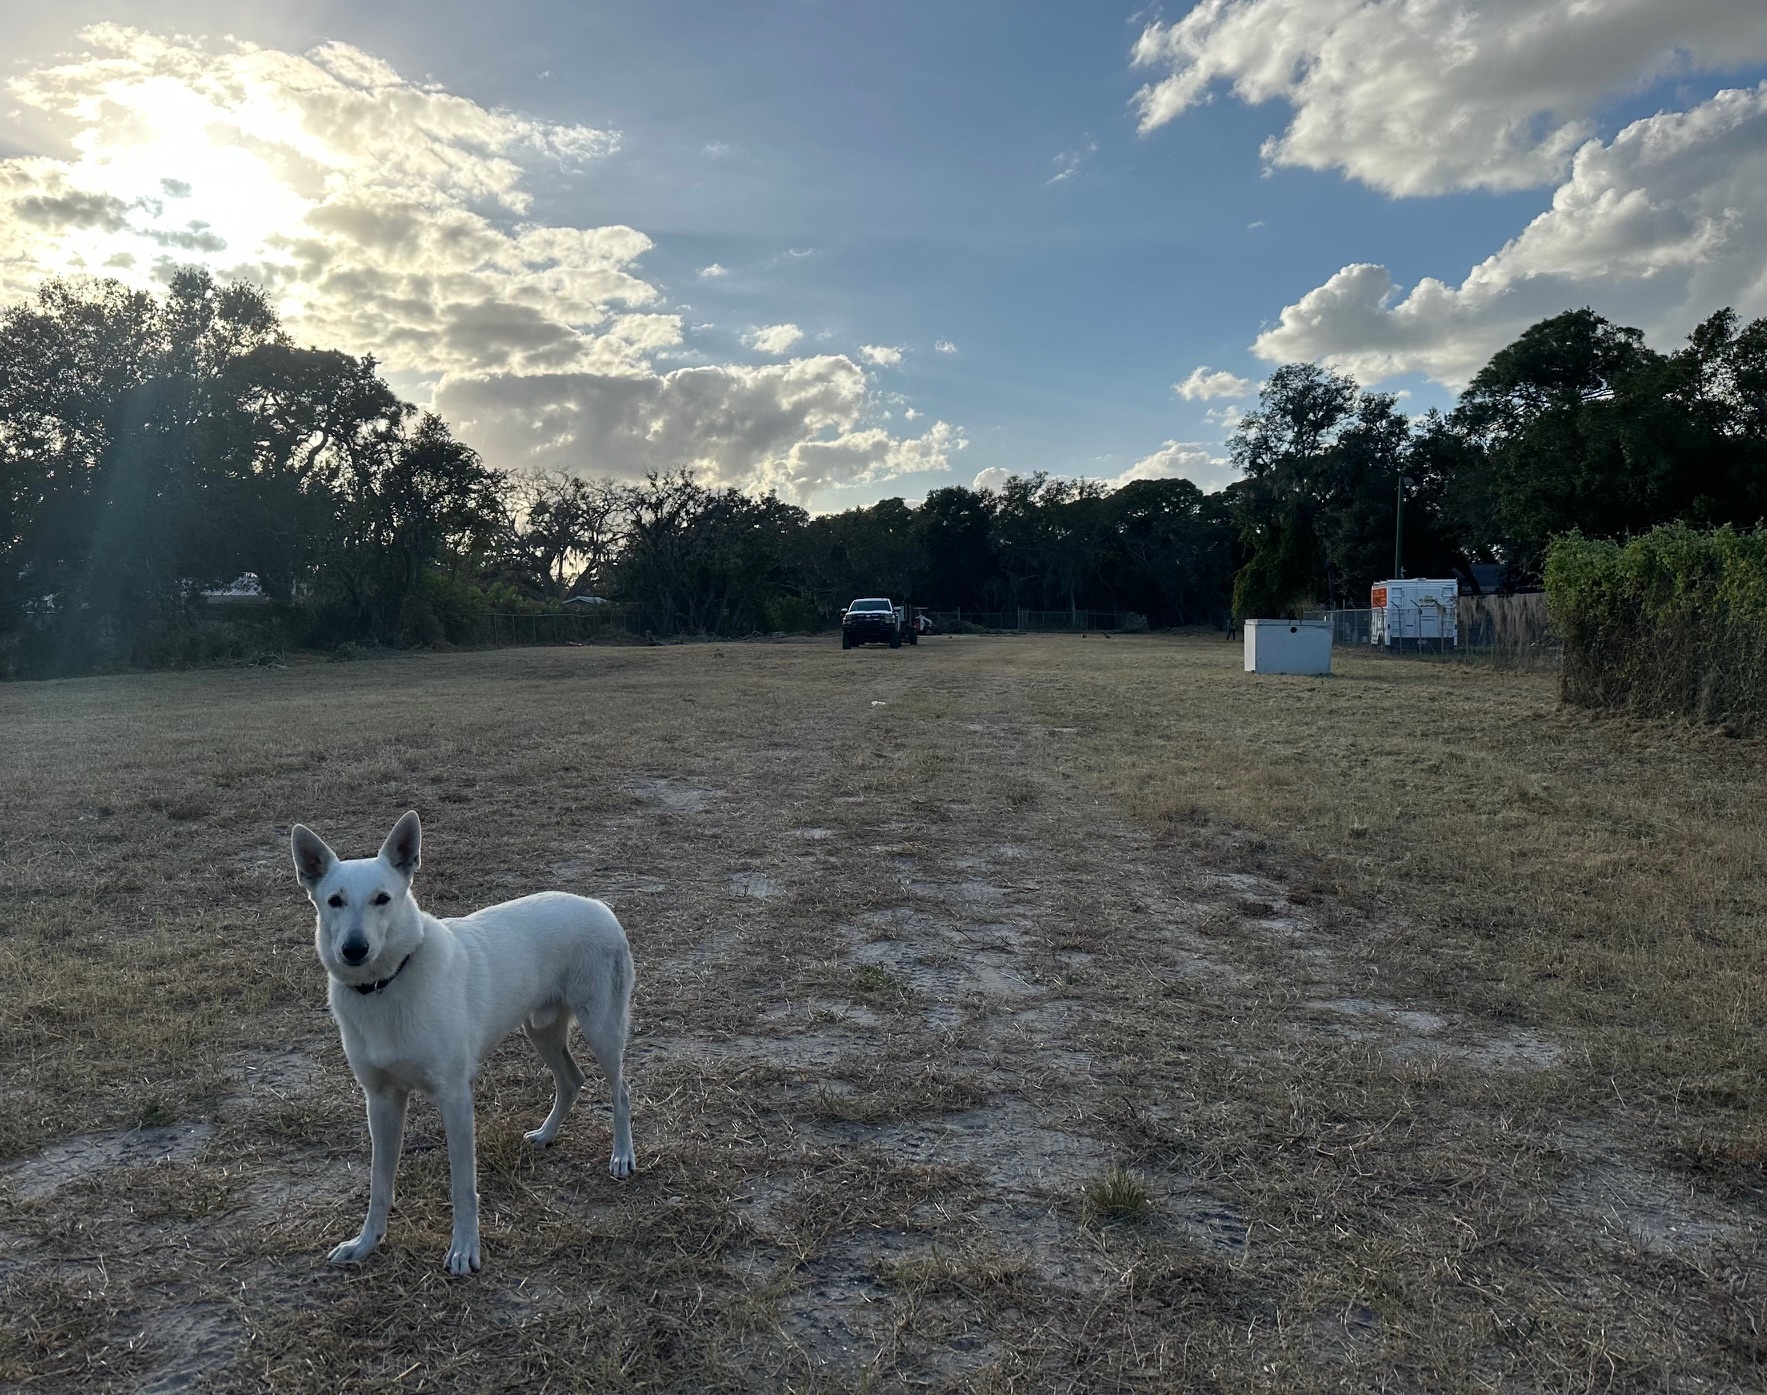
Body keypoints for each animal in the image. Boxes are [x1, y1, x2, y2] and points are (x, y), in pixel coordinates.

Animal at [293, 806, 639, 1273]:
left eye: (383, 899)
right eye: (335, 901)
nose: (353, 949)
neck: (387, 984)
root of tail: (599, 906)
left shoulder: (455, 1098)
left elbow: (462, 1186)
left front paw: (464, 1250)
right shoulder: (381, 1101)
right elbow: (379, 1186)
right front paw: (365, 1244)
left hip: (602, 1030)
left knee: (620, 1091)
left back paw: (622, 1156)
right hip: (541, 1031)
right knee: (572, 1080)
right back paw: (547, 1135)